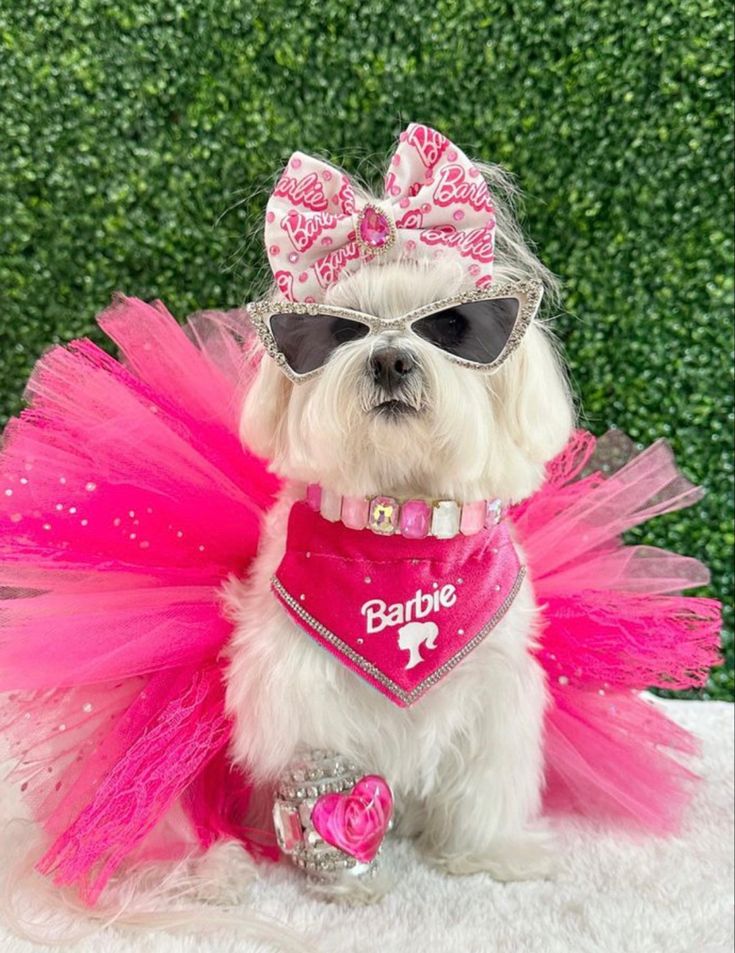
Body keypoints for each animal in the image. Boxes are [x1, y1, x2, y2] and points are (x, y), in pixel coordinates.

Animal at [223, 158, 576, 900]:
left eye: (452, 325)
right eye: (339, 331)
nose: (388, 359)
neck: (401, 526)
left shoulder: (495, 690)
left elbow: (484, 785)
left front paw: (491, 853)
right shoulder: (303, 688)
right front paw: (344, 875)